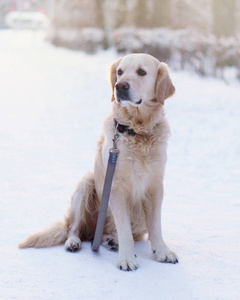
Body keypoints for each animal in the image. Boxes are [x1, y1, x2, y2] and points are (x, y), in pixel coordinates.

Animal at [19, 52, 178, 270]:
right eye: (120, 71)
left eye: (142, 72)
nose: (120, 86)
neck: (137, 130)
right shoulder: (116, 186)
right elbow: (124, 229)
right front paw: (127, 258)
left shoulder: (155, 186)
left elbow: (155, 227)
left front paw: (162, 251)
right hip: (86, 183)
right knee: (74, 228)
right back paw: (74, 242)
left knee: (108, 233)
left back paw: (111, 241)